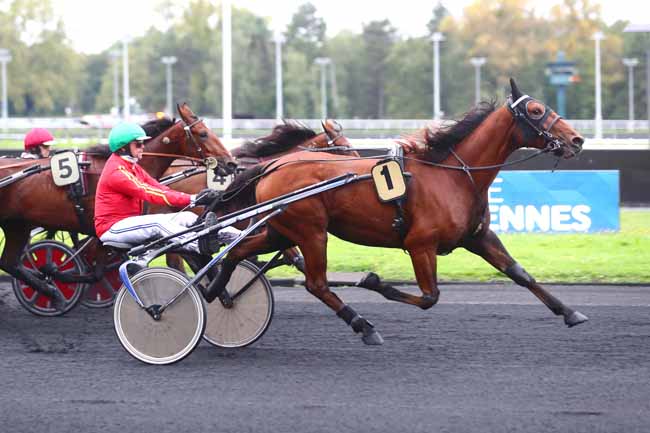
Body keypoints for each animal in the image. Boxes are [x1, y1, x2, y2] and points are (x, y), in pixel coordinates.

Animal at [0, 103, 233, 308]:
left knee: (9, 262)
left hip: (16, 225)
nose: (230, 163)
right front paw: (55, 273)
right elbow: (95, 272)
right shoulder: (104, 233)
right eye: (203, 133)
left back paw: (52, 293)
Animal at [206, 78, 588, 344]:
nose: (577, 140)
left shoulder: (477, 237)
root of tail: (274, 166)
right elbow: (430, 297)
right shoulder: (421, 244)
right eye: (536, 111)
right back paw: (363, 326)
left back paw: (215, 294)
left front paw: (570, 312)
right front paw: (373, 281)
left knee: (237, 251)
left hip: (280, 230)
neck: (454, 176)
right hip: (311, 232)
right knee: (316, 284)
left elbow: (520, 274)